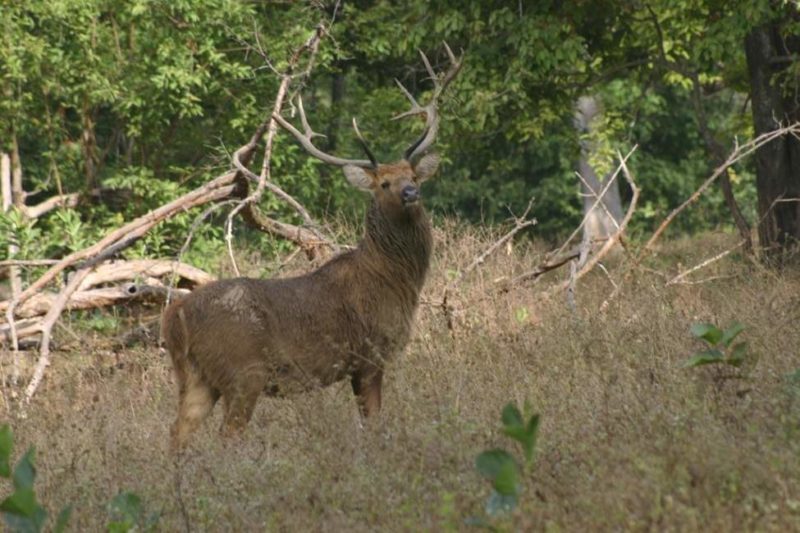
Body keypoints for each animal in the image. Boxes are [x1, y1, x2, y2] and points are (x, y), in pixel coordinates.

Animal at [162, 43, 462, 448]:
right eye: (383, 183)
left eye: (413, 175)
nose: (411, 193)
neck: (396, 281)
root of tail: (176, 314)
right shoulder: (370, 354)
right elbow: (373, 423)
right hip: (243, 371)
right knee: (228, 434)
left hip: (195, 376)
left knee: (177, 433)